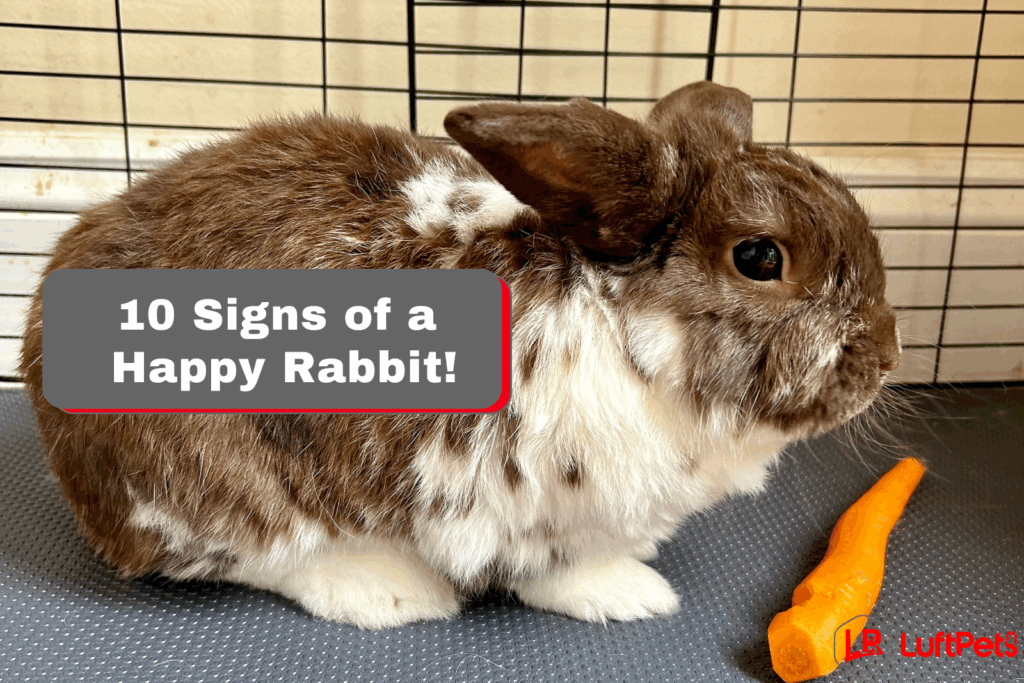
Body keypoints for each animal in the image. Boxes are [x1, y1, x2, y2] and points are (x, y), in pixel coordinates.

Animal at [20, 81, 901, 629]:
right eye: (758, 257)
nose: (888, 353)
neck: (623, 330)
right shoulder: (520, 506)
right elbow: (555, 571)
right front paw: (631, 592)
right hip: (213, 482)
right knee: (260, 554)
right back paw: (384, 589)